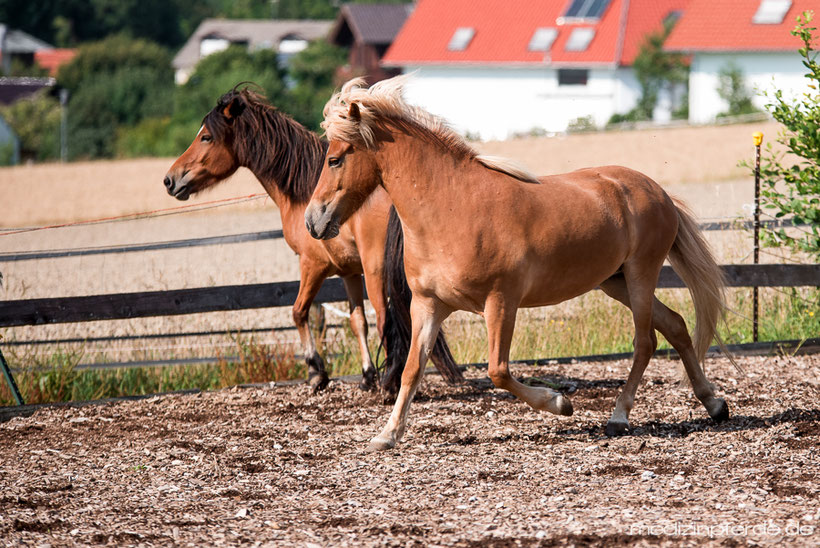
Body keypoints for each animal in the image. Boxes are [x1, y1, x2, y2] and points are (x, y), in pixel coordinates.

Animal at [160, 86, 462, 390]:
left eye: (206, 137)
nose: (169, 180)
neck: (303, 190)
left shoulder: (312, 264)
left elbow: (299, 311)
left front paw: (316, 371)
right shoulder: (348, 272)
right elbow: (357, 321)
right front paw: (367, 375)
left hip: (376, 271)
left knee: (385, 320)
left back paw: (391, 382)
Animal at [304, 76, 732, 450]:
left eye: (335, 159)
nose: (312, 221)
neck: (451, 207)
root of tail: (657, 192)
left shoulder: (501, 302)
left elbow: (498, 370)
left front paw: (560, 403)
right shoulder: (427, 305)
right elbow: (412, 370)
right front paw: (387, 435)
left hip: (642, 274)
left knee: (646, 342)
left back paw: (619, 417)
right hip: (616, 281)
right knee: (676, 326)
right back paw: (715, 405)